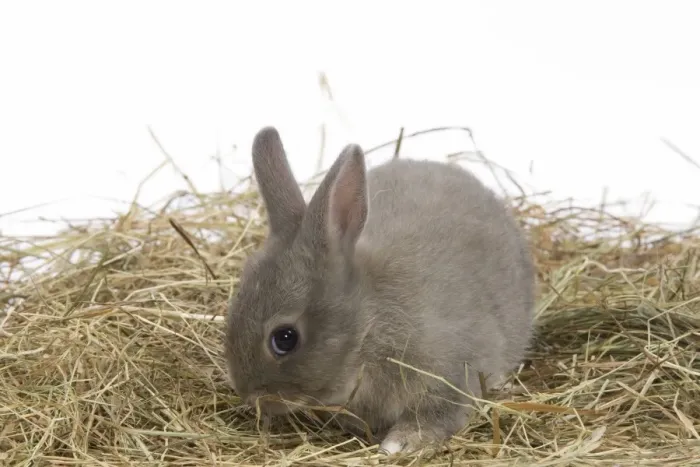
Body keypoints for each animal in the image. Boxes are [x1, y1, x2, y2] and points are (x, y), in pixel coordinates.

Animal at [224, 126, 536, 455]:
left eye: (285, 338)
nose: (250, 397)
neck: (369, 326)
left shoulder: (450, 373)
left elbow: (436, 416)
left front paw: (399, 444)